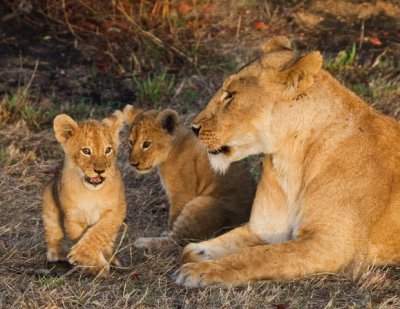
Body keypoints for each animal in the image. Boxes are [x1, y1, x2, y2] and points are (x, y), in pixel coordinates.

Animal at [175, 36, 400, 286]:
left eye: (231, 95)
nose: (194, 128)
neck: (290, 161)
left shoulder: (332, 244)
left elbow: (260, 255)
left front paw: (201, 271)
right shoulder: (263, 229)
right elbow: (193, 250)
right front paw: (200, 255)